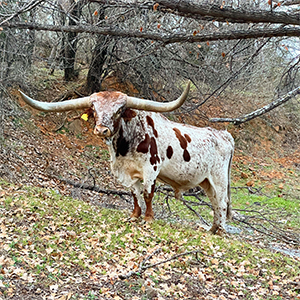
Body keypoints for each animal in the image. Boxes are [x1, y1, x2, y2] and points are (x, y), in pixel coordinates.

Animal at [19, 82, 234, 234]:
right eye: (94, 110)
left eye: (119, 111)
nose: (102, 130)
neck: (125, 147)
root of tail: (225, 135)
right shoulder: (128, 172)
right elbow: (134, 193)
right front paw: (134, 215)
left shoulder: (151, 168)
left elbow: (147, 193)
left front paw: (148, 218)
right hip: (207, 181)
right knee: (215, 202)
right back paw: (212, 229)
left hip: (219, 178)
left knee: (222, 202)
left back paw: (221, 231)